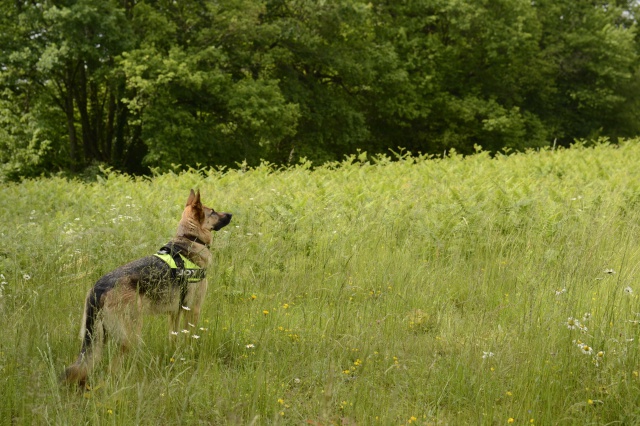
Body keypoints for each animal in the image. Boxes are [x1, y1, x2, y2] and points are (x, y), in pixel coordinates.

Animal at [62, 190, 231, 386]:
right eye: (213, 212)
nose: (231, 214)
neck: (189, 239)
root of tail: (99, 288)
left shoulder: (175, 313)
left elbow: (173, 338)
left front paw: (174, 357)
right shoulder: (193, 310)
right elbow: (190, 338)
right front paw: (190, 357)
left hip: (99, 338)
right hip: (129, 336)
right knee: (113, 368)